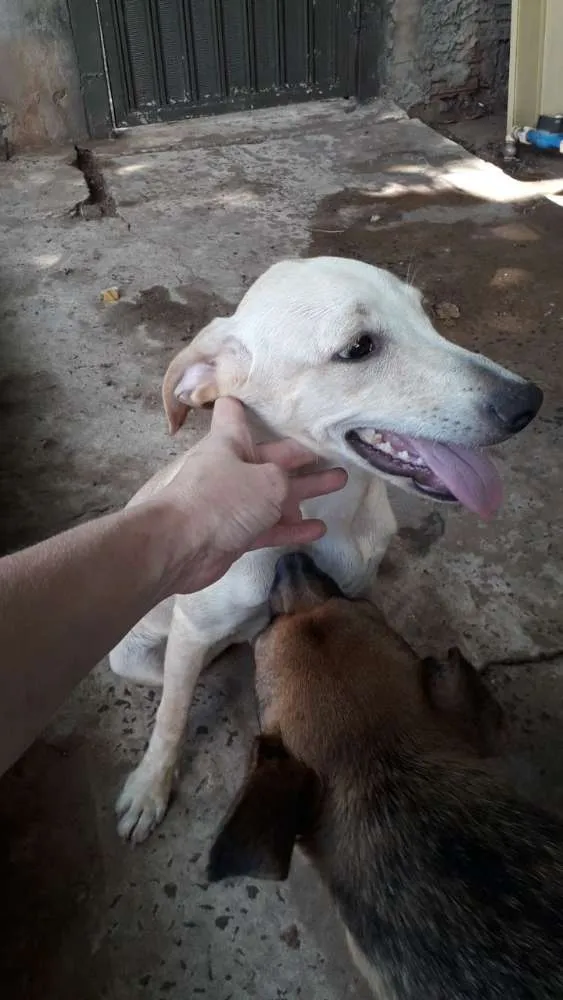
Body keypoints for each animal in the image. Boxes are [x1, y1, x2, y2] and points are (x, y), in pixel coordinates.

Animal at [108, 256, 544, 844]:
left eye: (424, 314)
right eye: (358, 348)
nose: (529, 403)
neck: (321, 517)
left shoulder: (352, 592)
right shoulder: (194, 630)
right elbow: (171, 719)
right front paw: (151, 787)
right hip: (134, 655)